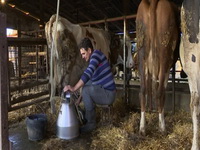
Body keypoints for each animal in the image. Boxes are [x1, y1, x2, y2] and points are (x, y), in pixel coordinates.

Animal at [136, 0, 180, 135]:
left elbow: (151, 87)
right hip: (164, 54)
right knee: (160, 92)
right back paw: (162, 128)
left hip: (142, 53)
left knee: (143, 90)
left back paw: (142, 128)